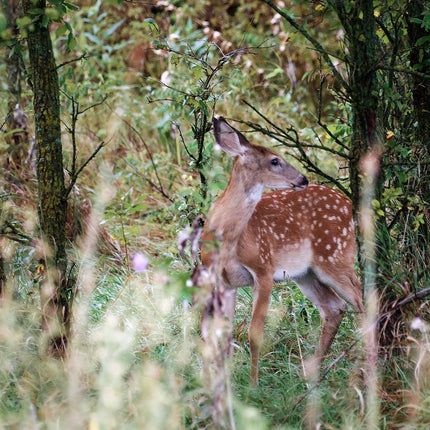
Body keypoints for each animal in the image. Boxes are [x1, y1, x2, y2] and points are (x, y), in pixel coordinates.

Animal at [201, 116, 362, 384]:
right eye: (275, 161)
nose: (303, 179)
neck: (228, 242)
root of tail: (351, 205)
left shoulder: (263, 269)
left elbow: (254, 333)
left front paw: (253, 384)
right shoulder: (223, 281)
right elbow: (221, 333)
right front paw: (220, 381)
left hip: (335, 255)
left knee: (364, 298)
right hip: (305, 273)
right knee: (335, 307)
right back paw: (311, 372)